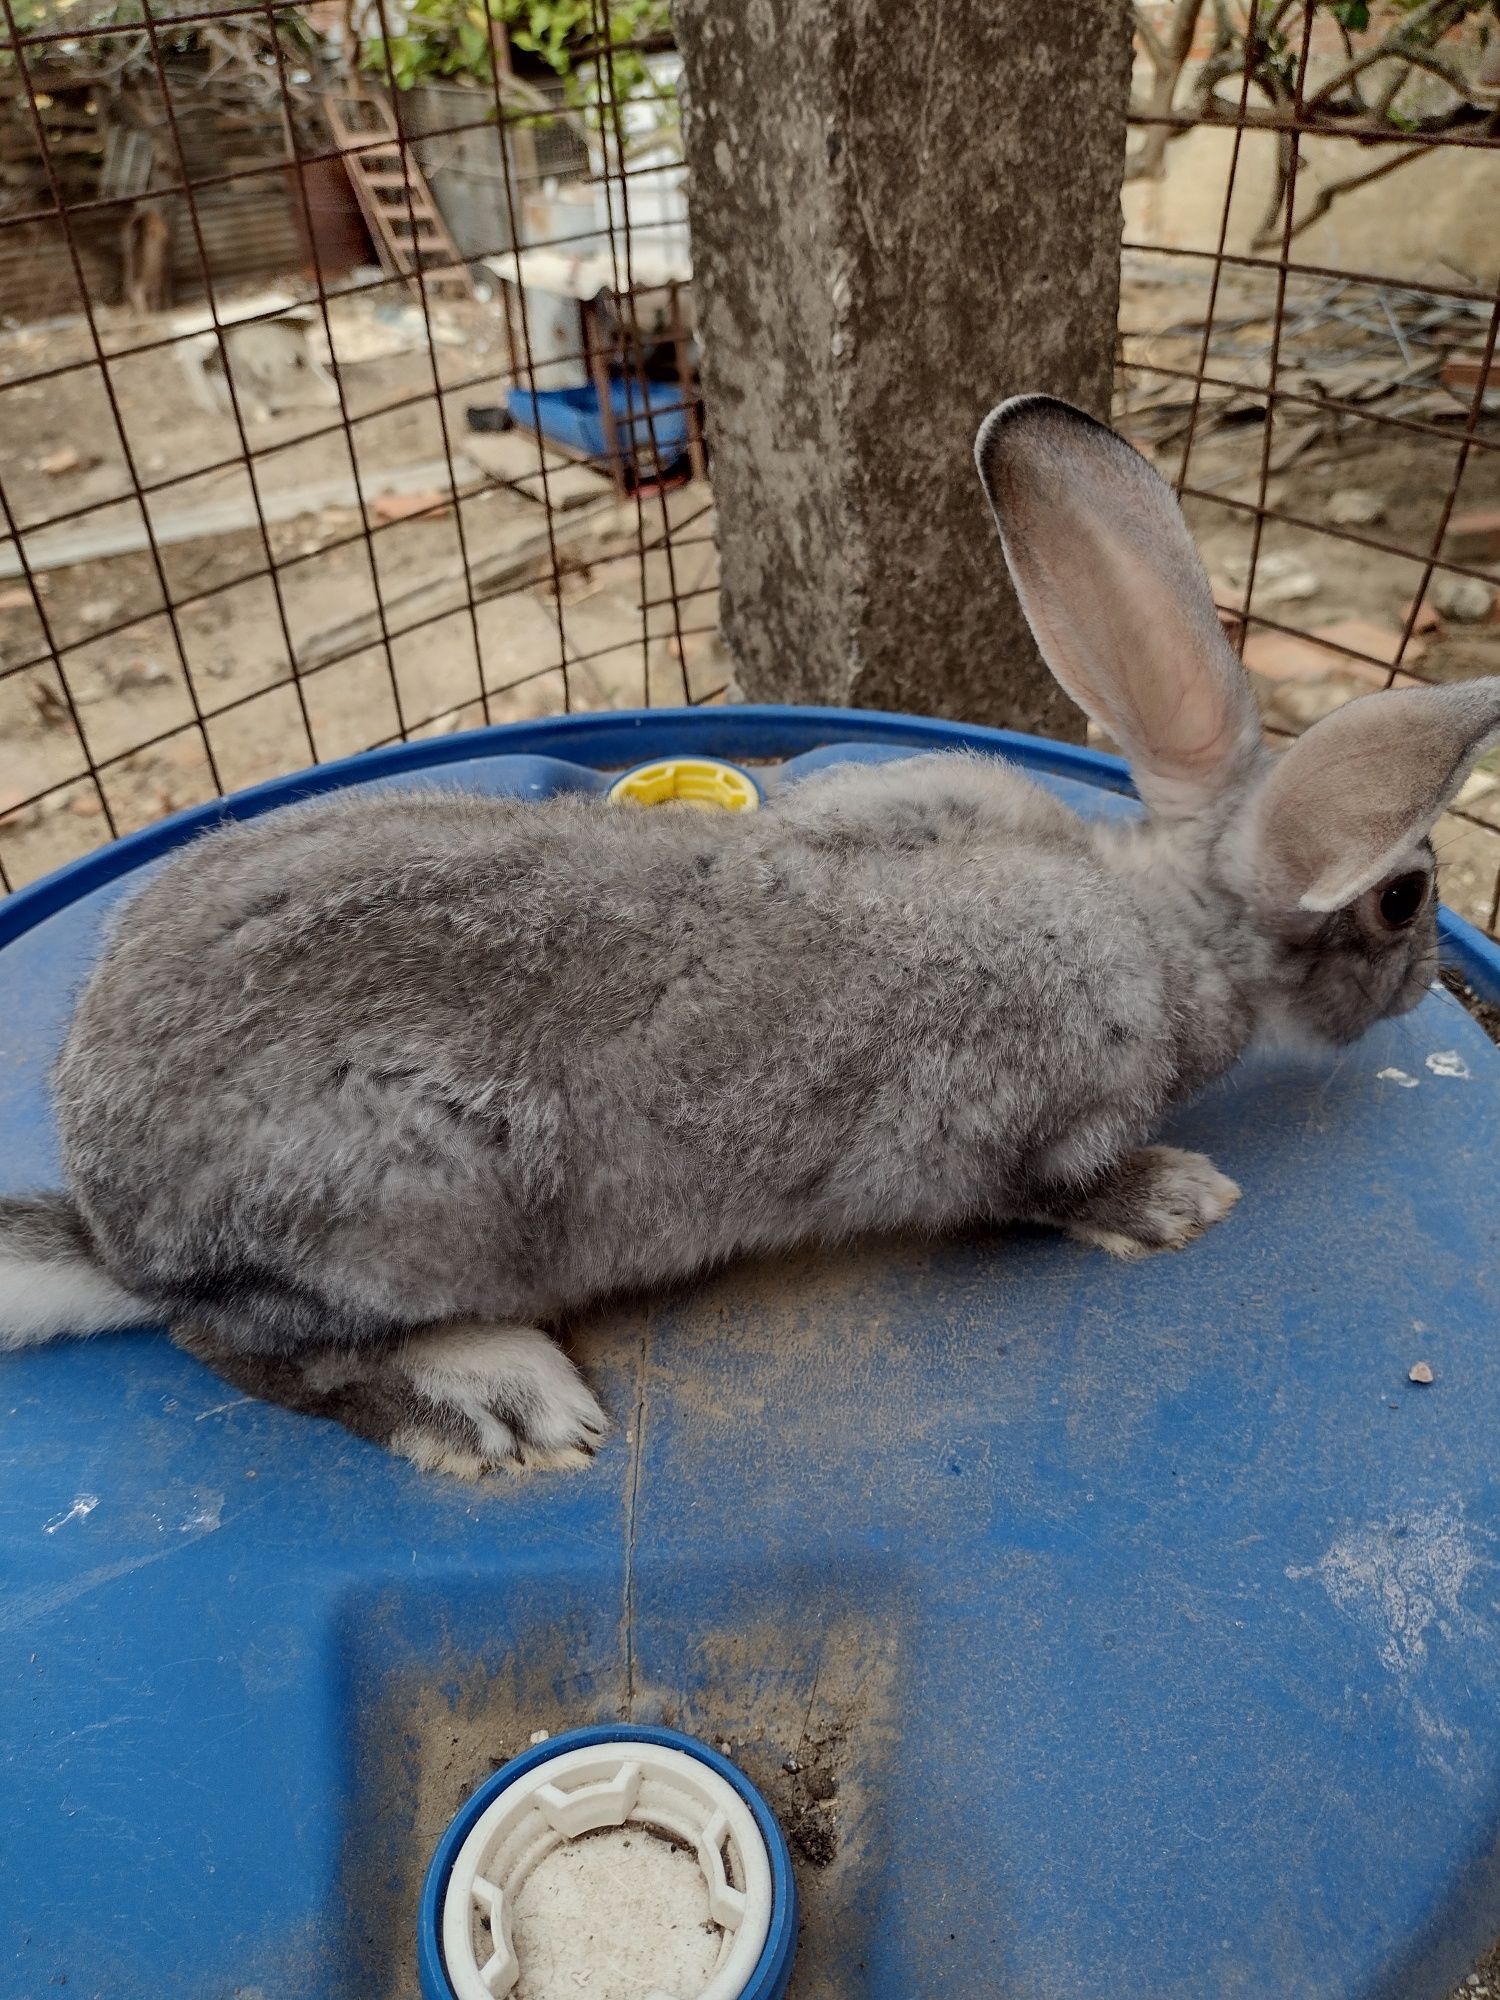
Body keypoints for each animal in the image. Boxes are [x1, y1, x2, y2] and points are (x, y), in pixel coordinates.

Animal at [2, 398, 1500, 1480]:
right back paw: (495, 1404)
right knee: (245, 1348)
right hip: (404, 1209)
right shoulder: (1031, 1129)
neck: (1165, 919)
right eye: (1402, 897)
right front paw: (1182, 1200)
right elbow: (1057, 1191)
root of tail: (111, 1218)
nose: (1429, 976)